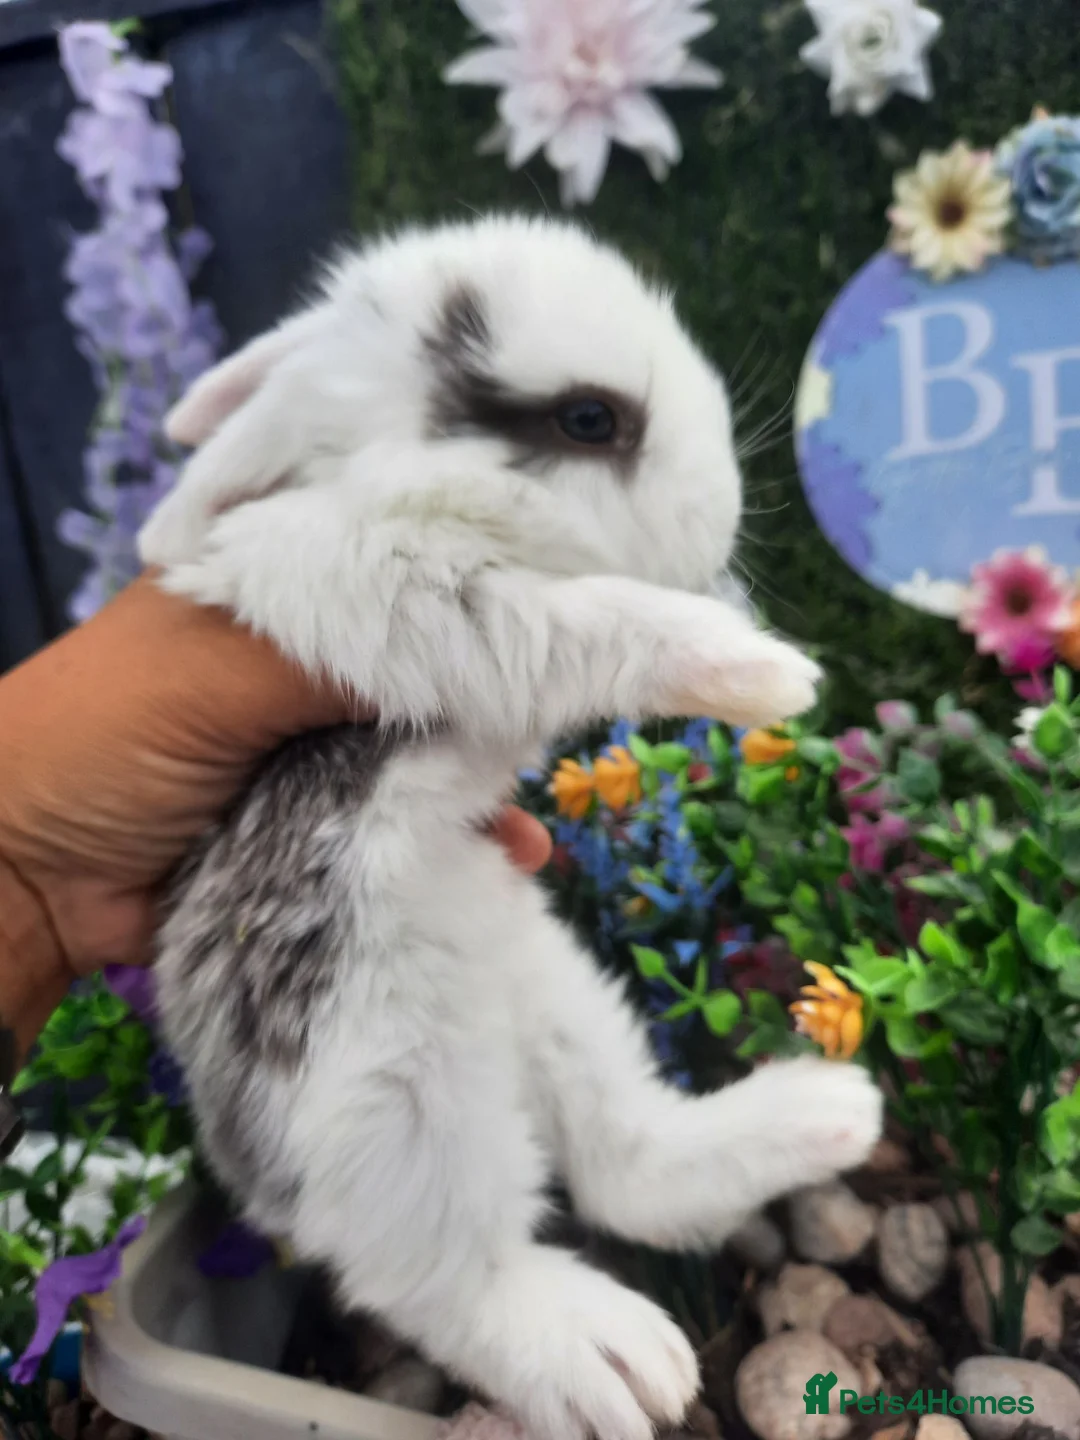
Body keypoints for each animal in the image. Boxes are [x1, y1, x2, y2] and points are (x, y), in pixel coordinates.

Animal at [140, 215, 883, 1440]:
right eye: (588, 419)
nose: (724, 514)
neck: (397, 493)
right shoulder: (436, 608)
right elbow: (594, 620)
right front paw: (765, 674)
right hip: (392, 1086)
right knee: (440, 1271)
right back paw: (612, 1359)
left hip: (551, 984)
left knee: (626, 1167)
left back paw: (832, 1113)